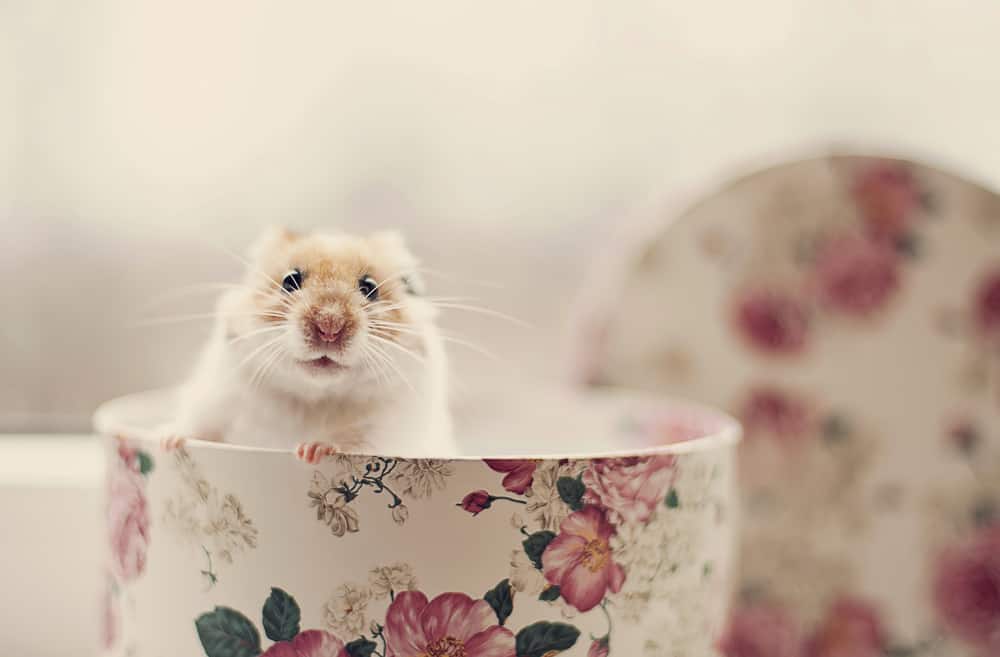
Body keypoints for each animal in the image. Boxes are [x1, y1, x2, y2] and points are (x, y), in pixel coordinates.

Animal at [163, 227, 454, 462]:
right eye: (290, 280)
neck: (313, 396)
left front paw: (310, 451)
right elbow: (197, 427)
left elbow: (353, 442)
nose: (329, 327)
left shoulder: (388, 434)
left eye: (370, 287)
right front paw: (169, 442)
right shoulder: (216, 397)